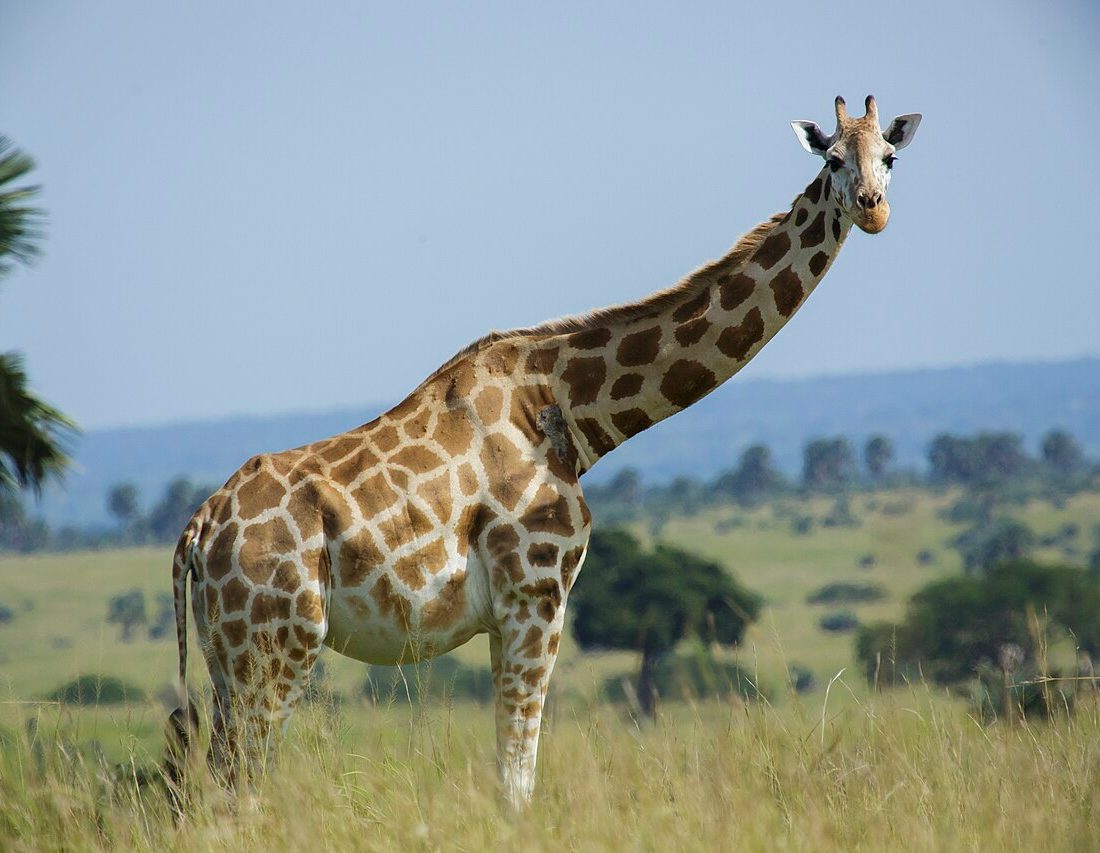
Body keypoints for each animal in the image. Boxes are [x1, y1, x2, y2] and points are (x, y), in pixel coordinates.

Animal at [165, 95, 921, 810]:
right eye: (832, 161)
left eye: (890, 155)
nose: (874, 210)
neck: (571, 411)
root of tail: (197, 533)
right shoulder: (537, 594)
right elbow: (517, 776)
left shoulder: (509, 614)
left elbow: (512, 770)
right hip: (278, 645)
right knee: (239, 784)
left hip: (229, 656)